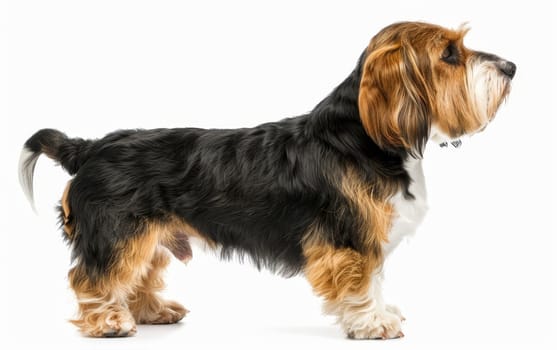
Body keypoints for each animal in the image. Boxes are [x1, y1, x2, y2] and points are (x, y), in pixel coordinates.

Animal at [17, 21, 516, 340]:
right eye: (449, 54)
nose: (511, 67)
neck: (362, 135)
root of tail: (89, 147)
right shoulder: (348, 238)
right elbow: (360, 282)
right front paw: (372, 323)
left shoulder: (363, 235)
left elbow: (374, 279)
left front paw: (381, 312)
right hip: (117, 235)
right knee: (93, 277)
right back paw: (108, 322)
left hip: (149, 238)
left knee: (137, 277)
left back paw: (153, 312)